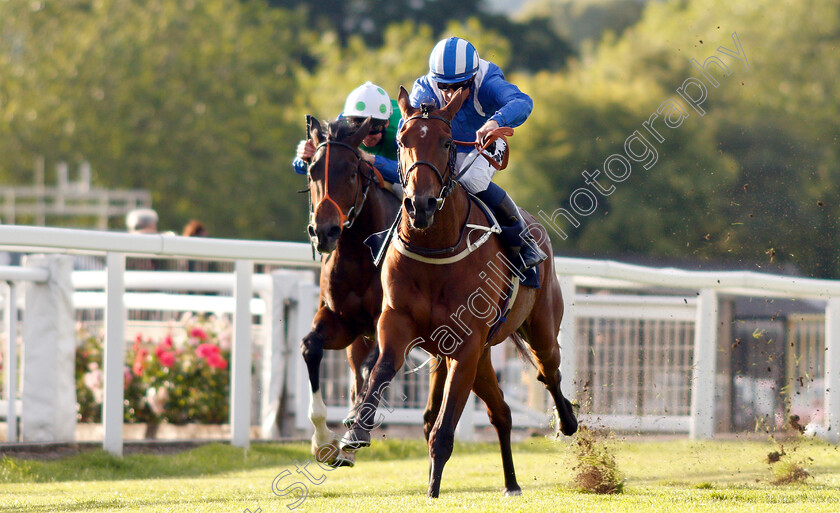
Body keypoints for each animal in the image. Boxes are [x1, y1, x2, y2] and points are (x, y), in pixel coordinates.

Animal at [302, 114, 400, 466]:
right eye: (312, 170)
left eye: (352, 172)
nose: (325, 231)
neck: (361, 251)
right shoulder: (341, 320)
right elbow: (311, 348)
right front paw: (324, 441)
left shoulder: (391, 320)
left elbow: (374, 366)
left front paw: (355, 426)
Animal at [342, 89, 576, 496]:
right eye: (403, 141)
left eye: (447, 141)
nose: (420, 204)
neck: (436, 248)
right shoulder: (397, 323)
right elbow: (381, 370)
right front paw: (355, 433)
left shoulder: (465, 344)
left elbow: (444, 429)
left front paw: (433, 491)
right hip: (480, 358)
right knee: (502, 412)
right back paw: (511, 483)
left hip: (539, 328)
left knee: (549, 371)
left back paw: (567, 423)